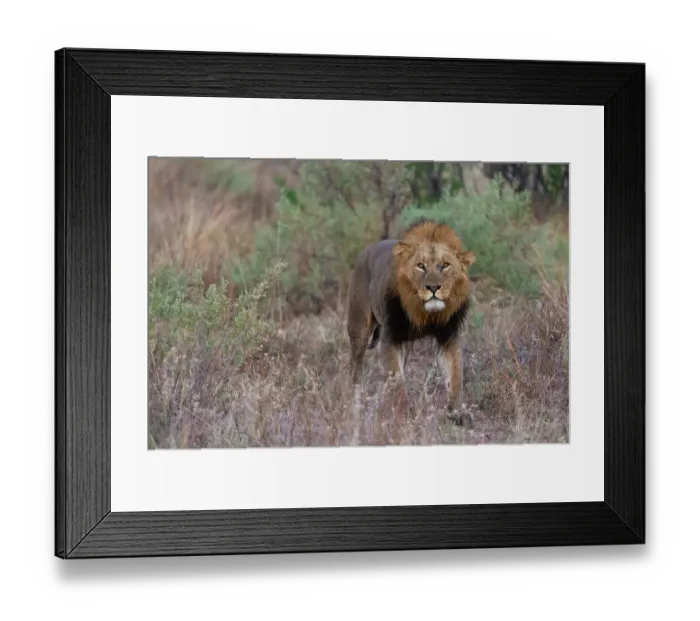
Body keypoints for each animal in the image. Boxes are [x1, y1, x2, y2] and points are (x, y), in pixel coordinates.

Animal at [346, 218, 476, 417]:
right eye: (421, 265)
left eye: (445, 265)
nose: (433, 287)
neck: (424, 313)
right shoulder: (391, 338)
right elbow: (397, 380)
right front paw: (402, 413)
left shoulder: (448, 338)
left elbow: (456, 376)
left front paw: (456, 413)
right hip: (358, 329)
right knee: (355, 369)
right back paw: (354, 406)